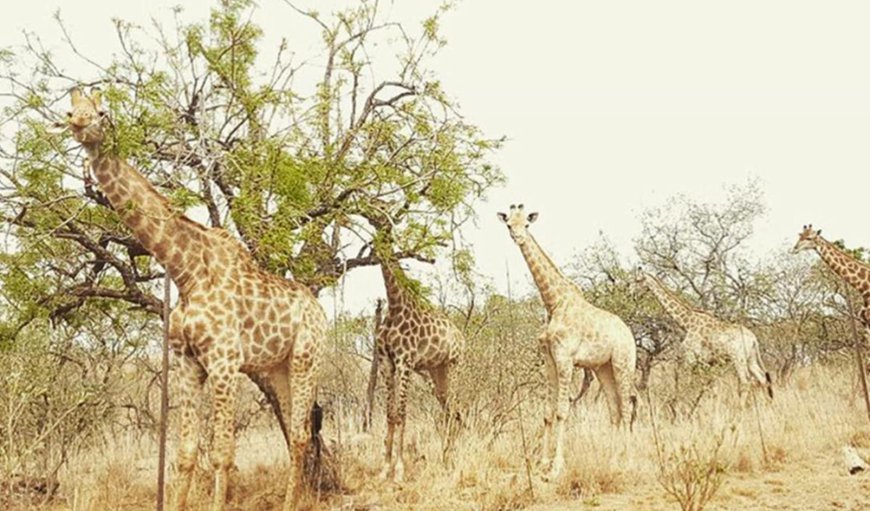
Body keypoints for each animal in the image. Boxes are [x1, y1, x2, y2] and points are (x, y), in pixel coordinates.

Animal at [67, 86, 328, 510]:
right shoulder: (187, 363)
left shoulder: (224, 362)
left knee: (303, 435)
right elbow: (186, 454)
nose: (80, 124)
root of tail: (319, 309)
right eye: (70, 110)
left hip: (307, 358)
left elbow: (222, 455)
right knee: (295, 432)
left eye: (102, 112)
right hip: (279, 368)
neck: (186, 271)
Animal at [500, 203, 636, 480]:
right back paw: (611, 461)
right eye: (509, 224)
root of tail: (630, 335)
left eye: (527, 224)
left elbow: (562, 411)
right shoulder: (549, 359)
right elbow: (547, 413)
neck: (553, 302)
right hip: (604, 368)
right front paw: (541, 463)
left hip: (623, 363)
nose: (518, 237)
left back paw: (627, 463)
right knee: (615, 410)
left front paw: (556, 468)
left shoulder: (565, 358)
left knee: (627, 409)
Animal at [632, 266, 776, 402]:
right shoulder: (707, 362)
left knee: (746, 381)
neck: (687, 323)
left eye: (637, 280)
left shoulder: (690, 358)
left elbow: (687, 383)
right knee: (762, 379)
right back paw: (765, 405)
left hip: (738, 358)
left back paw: (740, 407)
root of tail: (753, 339)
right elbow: (710, 388)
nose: (632, 294)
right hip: (750, 358)